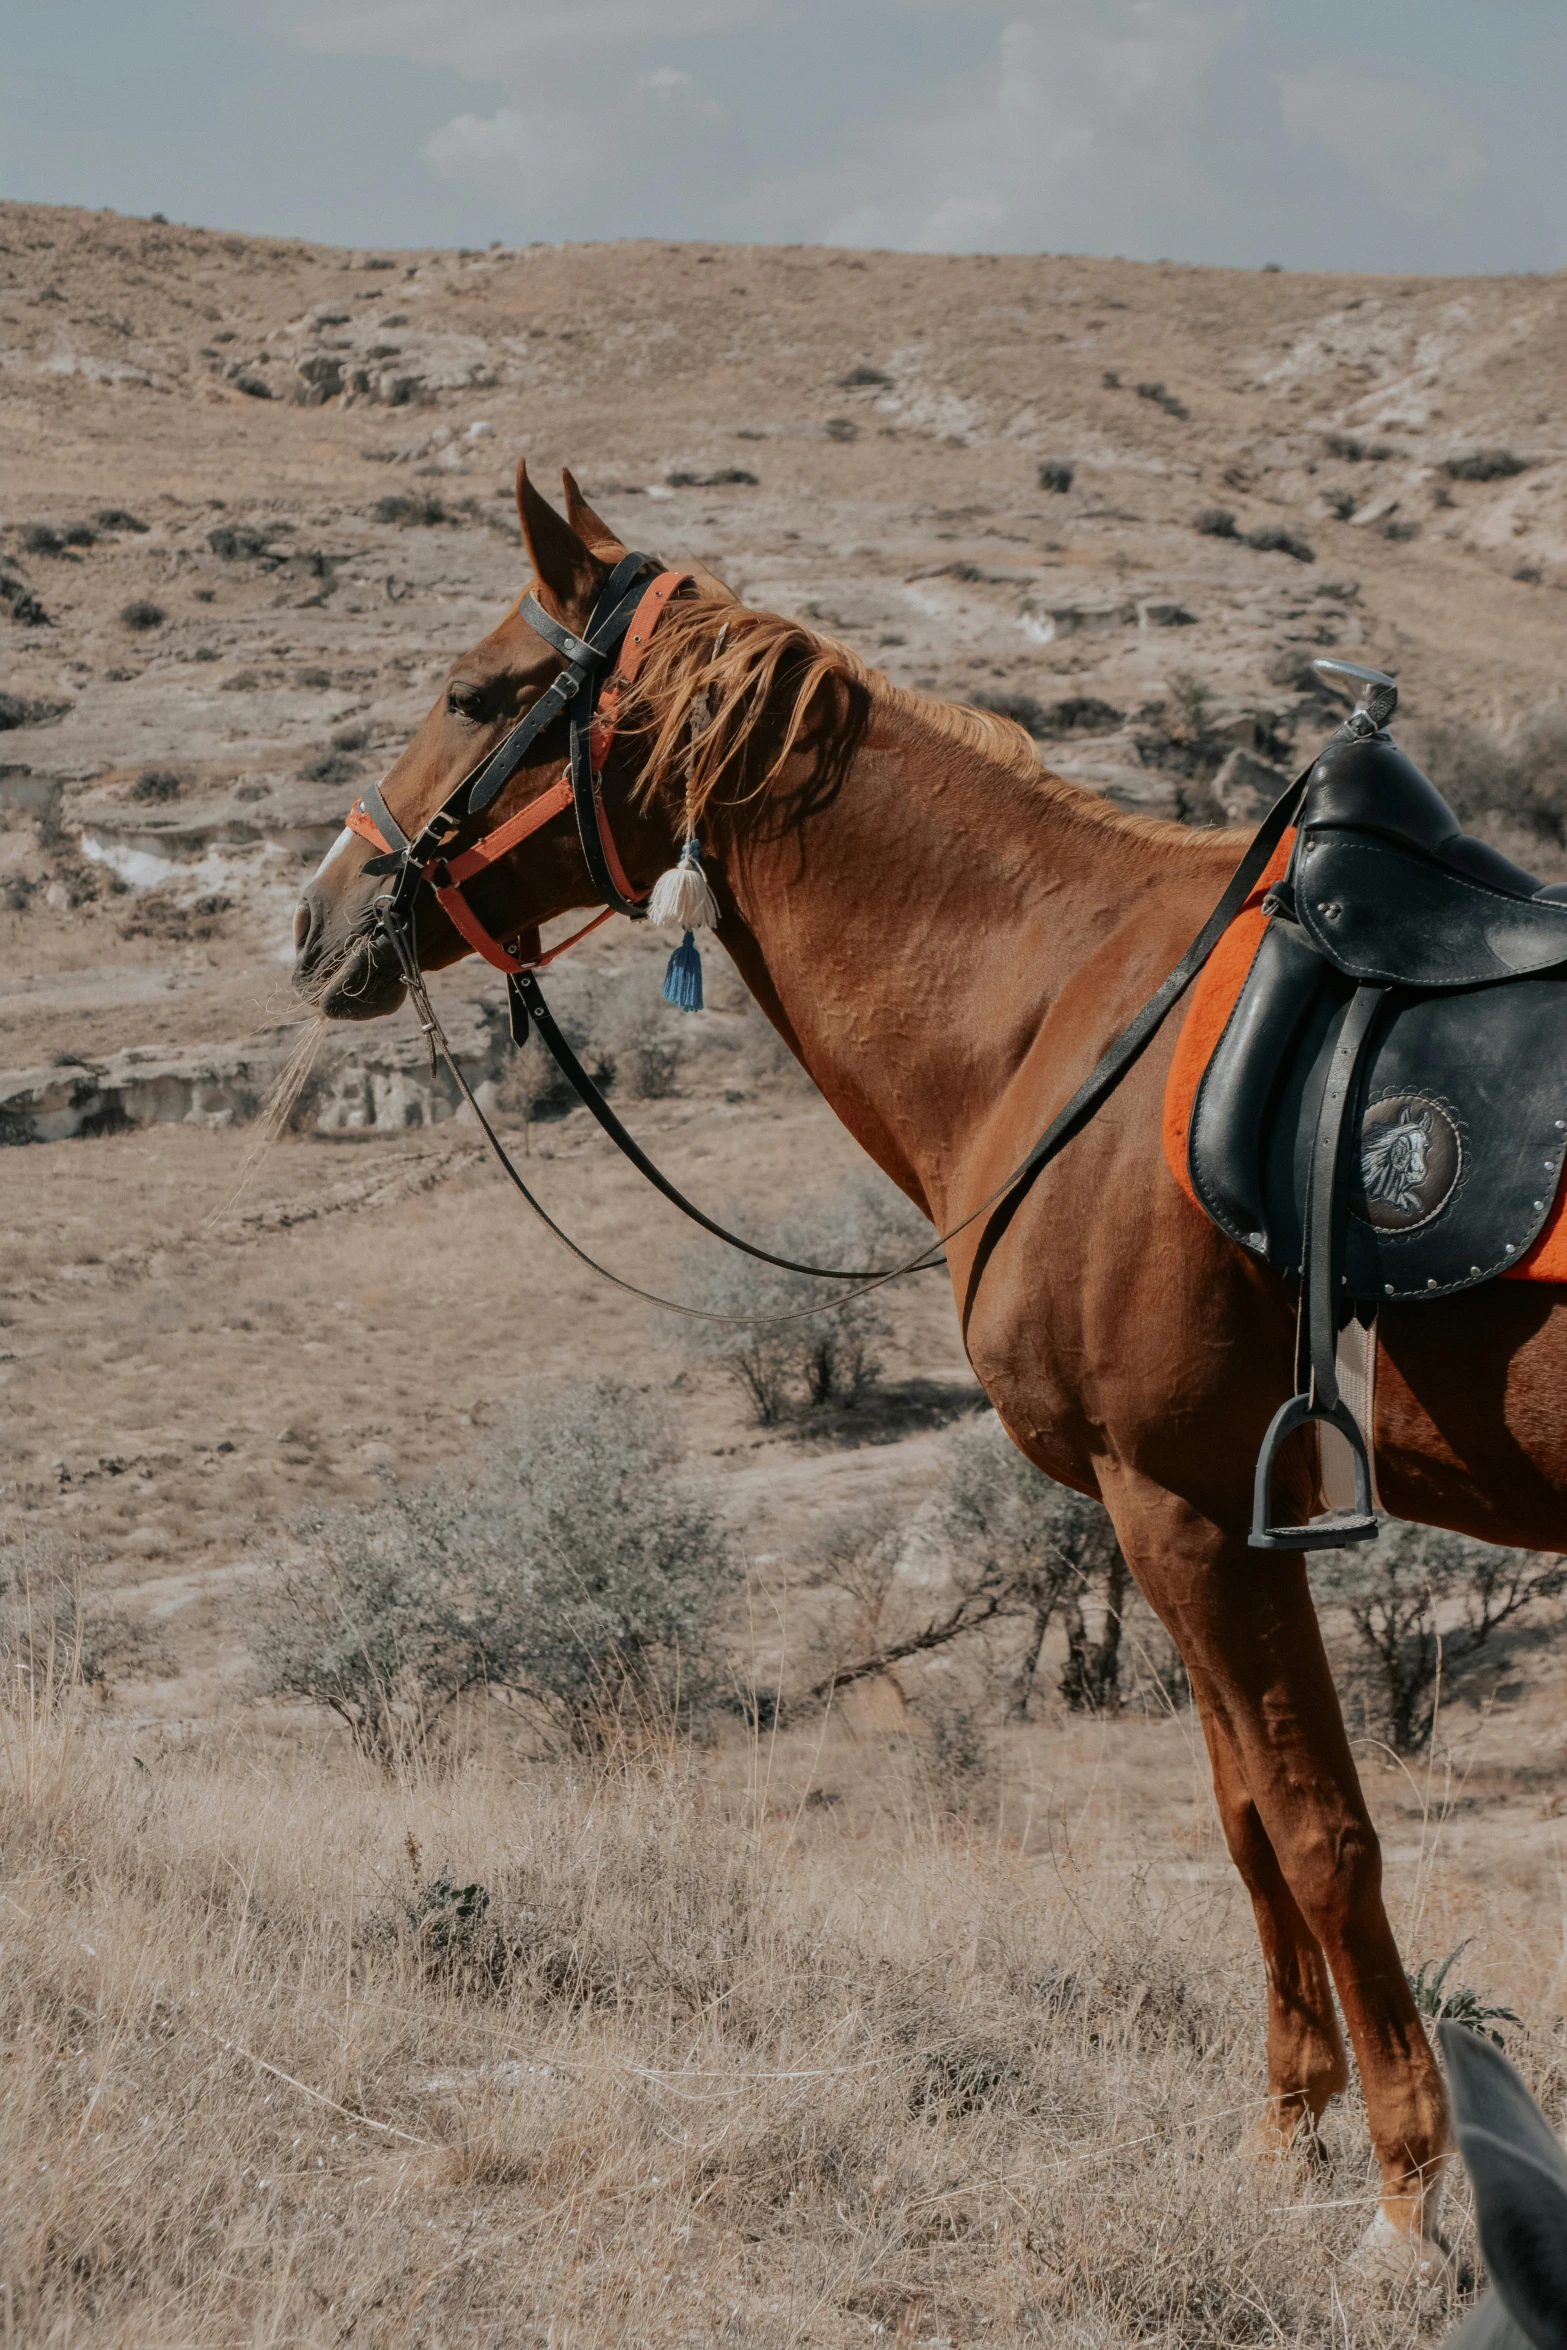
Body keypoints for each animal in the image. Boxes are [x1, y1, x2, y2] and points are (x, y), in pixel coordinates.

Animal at [291, 472, 1567, 2256]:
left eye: (476, 695)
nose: (319, 915)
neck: (1068, 1011)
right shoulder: (1178, 1519)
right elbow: (1246, 1825)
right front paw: (1282, 2136)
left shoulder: (1181, 1506)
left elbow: (1317, 1832)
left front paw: (1397, 2196)